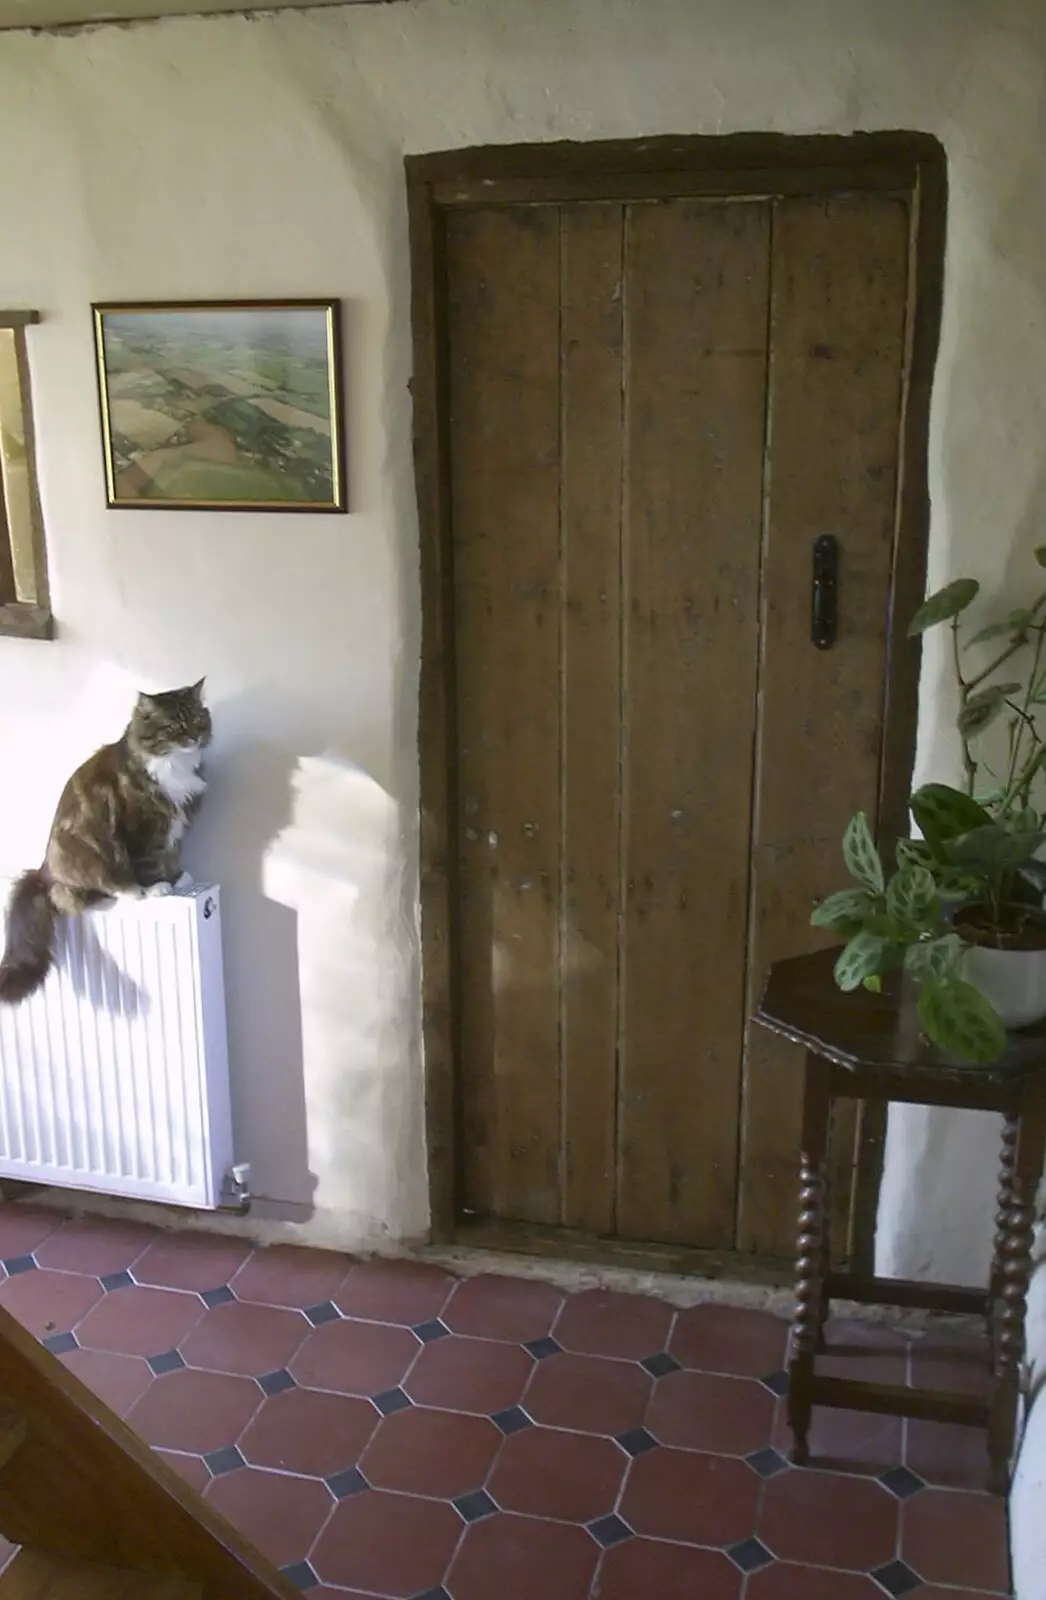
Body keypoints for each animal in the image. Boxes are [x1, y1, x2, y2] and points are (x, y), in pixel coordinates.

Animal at [0, 681, 211, 1004]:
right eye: (175, 725)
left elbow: (170, 855)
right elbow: (150, 862)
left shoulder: (173, 825)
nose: (194, 737)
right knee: (79, 894)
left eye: (198, 718)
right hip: (89, 857)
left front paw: (178, 878)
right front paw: (159, 887)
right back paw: (131, 891)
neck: (174, 764)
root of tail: (43, 871)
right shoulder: (141, 828)